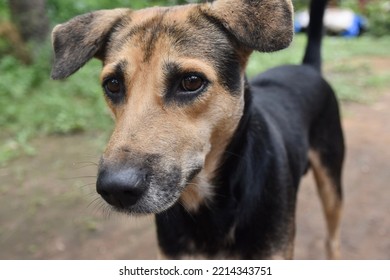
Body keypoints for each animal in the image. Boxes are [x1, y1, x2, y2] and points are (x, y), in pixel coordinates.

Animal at [49, 0, 344, 260]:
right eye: (112, 85)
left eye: (191, 82)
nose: (116, 189)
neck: (207, 209)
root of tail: (306, 68)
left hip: (332, 187)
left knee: (332, 241)